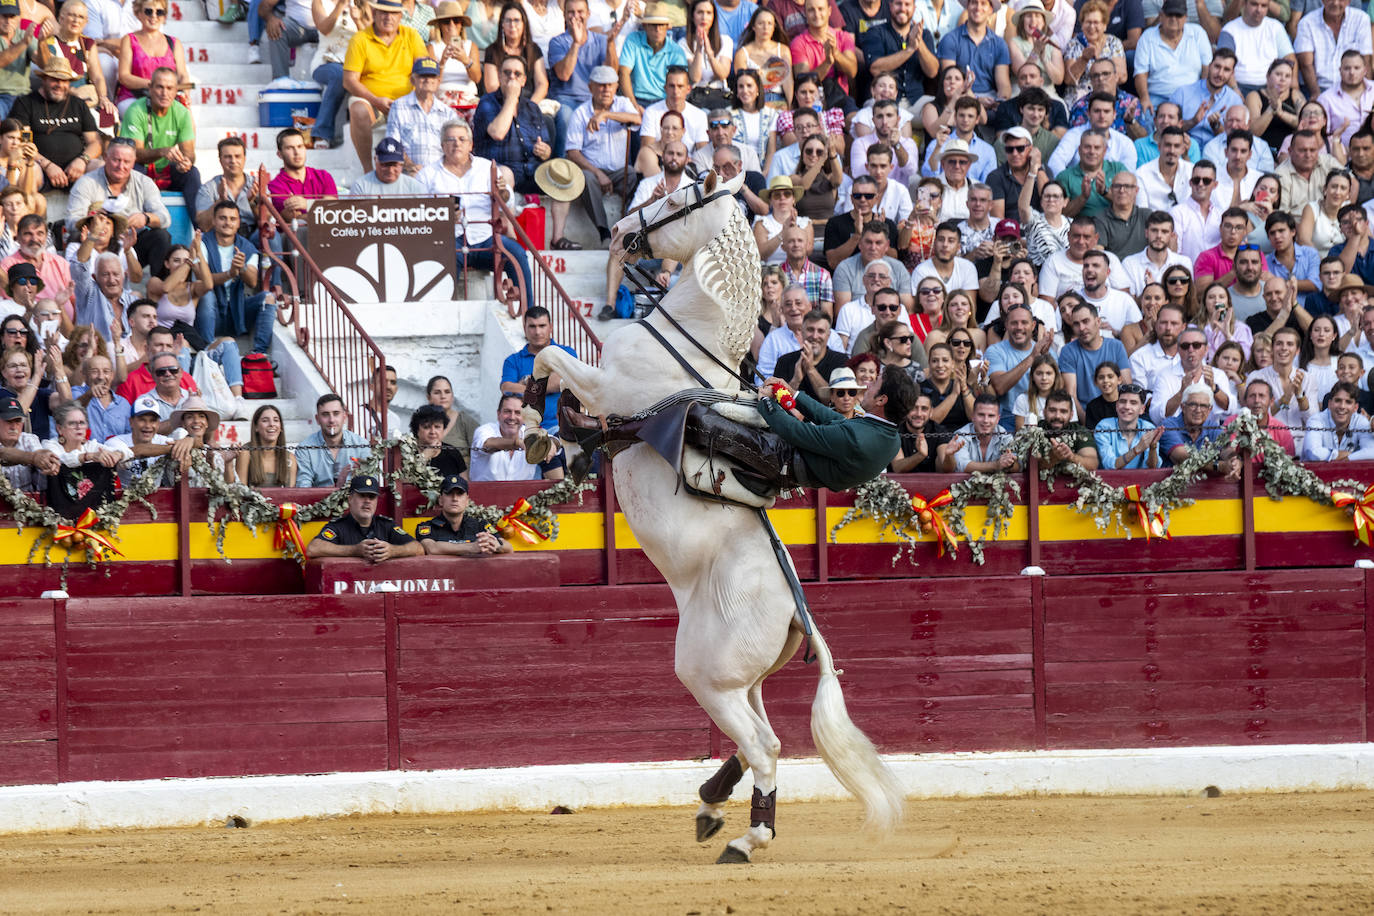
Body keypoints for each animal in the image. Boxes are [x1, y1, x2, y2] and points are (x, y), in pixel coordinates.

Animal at [516, 171, 901, 867]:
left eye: (676, 197)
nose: (619, 231)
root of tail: (800, 619)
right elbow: (550, 370)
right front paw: (550, 431)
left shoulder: (606, 384)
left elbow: (551, 359)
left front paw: (535, 428)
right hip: (742, 681)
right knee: (761, 738)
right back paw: (713, 802)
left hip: (707, 676)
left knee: (765, 746)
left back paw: (746, 836)